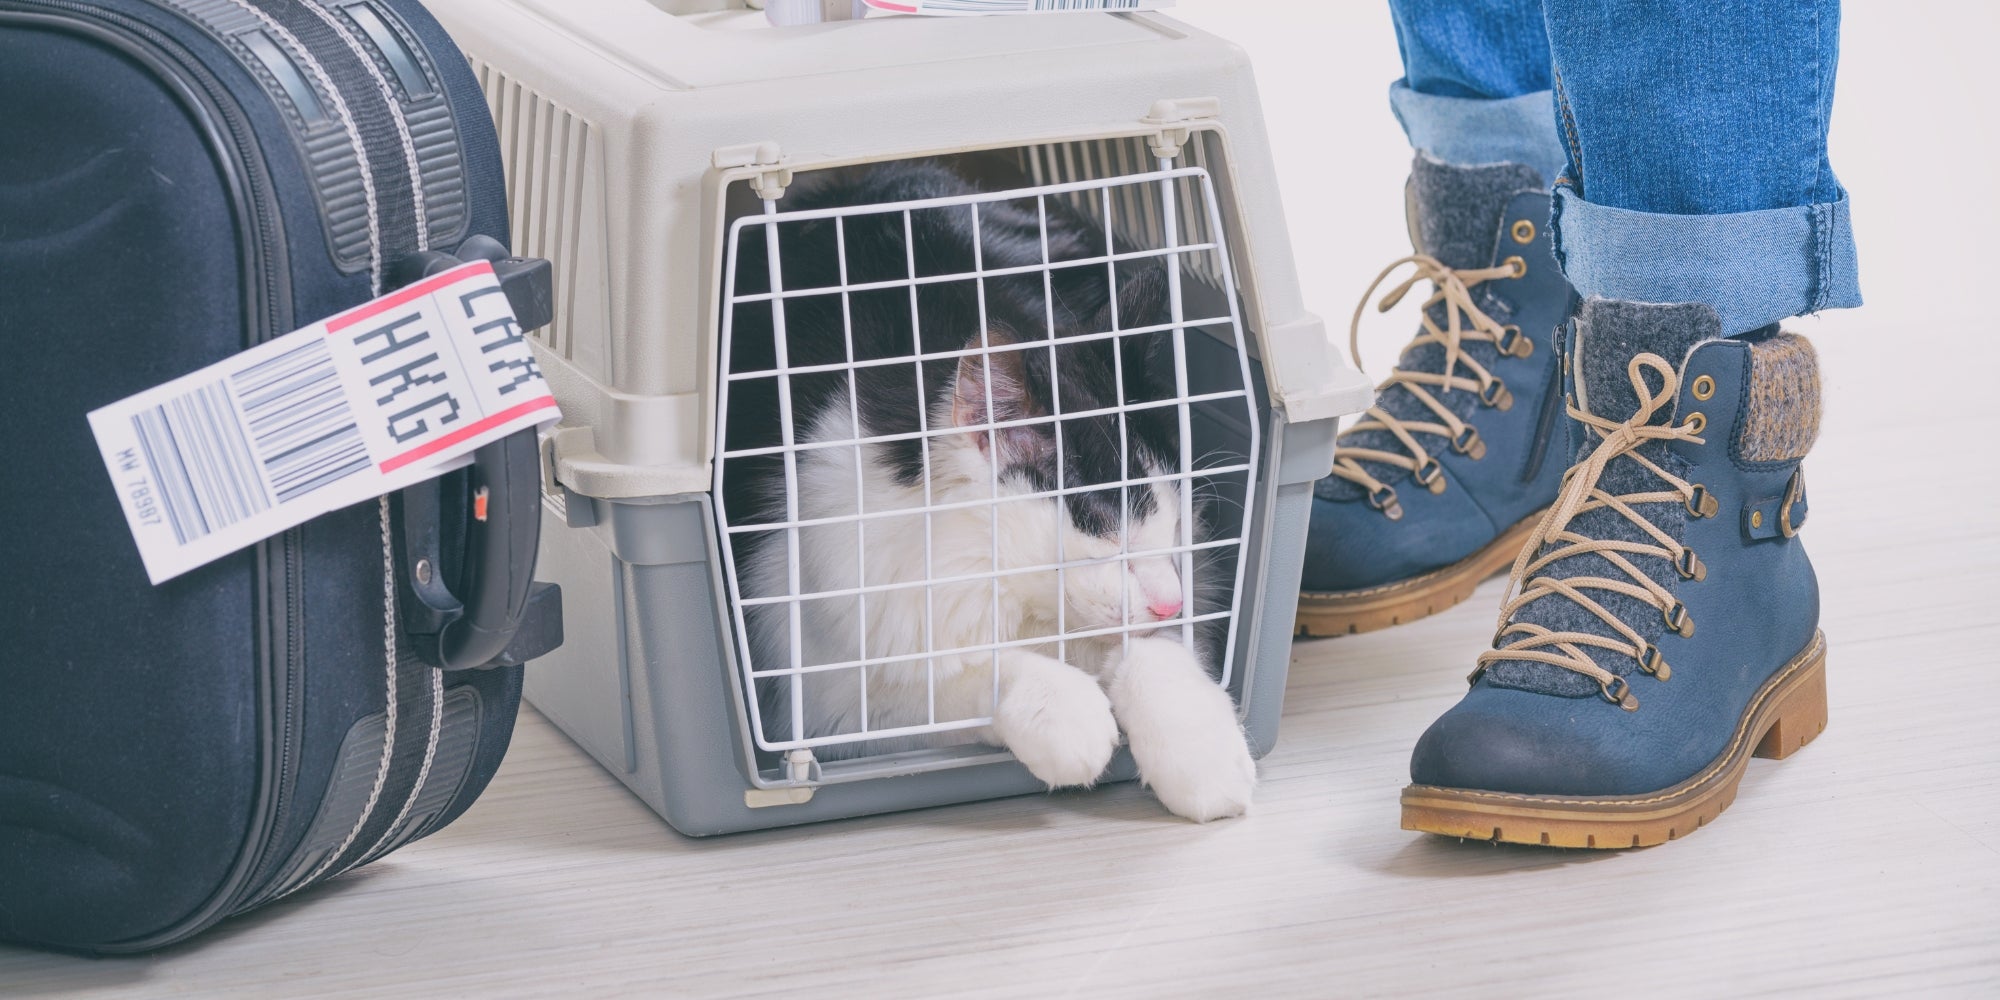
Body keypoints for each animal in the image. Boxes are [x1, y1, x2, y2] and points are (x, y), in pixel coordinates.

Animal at [720, 158, 1248, 820]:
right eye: (1108, 536)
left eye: (1174, 527)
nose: (1171, 602)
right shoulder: (828, 700)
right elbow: (951, 677)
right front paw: (1070, 716)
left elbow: (1153, 653)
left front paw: (1203, 755)